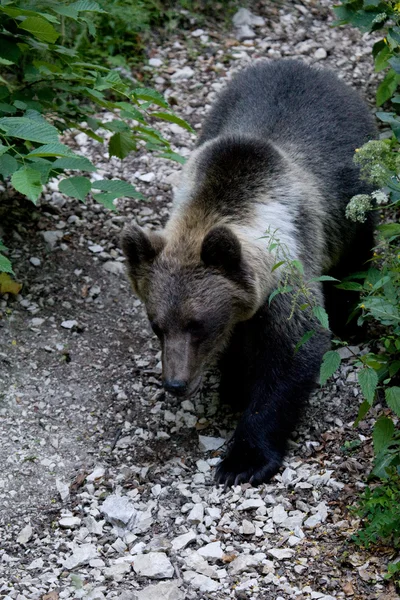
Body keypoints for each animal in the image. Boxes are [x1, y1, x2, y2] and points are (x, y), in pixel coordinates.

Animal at [120, 58, 376, 486]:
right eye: (157, 326)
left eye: (197, 324)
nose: (175, 383)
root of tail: (305, 66)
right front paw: (233, 385)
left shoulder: (287, 275)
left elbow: (294, 351)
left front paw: (243, 459)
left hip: (355, 193)